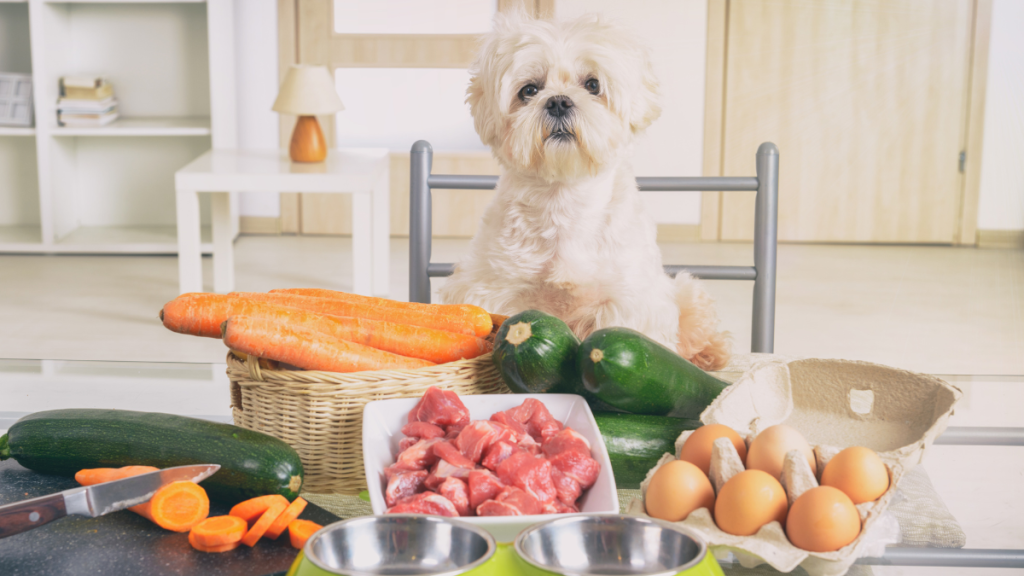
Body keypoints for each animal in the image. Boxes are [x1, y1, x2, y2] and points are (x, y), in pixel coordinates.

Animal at [444, 14, 733, 373]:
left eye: (593, 85)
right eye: (529, 90)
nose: (558, 101)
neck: (565, 197)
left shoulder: (627, 299)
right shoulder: (493, 287)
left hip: (683, 289)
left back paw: (709, 354)